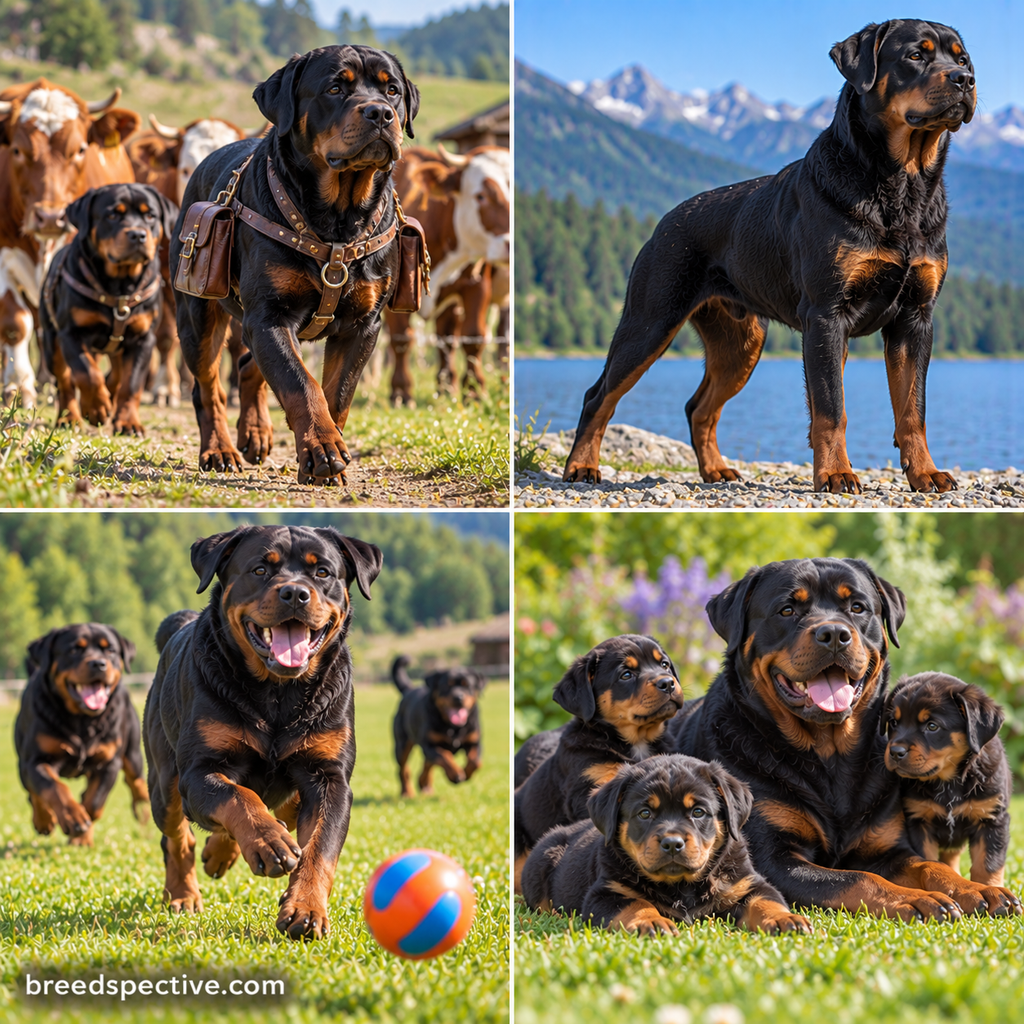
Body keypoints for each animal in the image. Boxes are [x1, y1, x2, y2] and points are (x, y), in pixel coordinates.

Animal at [385, 145, 509, 405]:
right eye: (481, 196)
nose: (509, 245)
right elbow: (401, 338)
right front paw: (401, 393)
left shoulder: (476, 284)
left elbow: (473, 336)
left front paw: (474, 392)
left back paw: (447, 387)